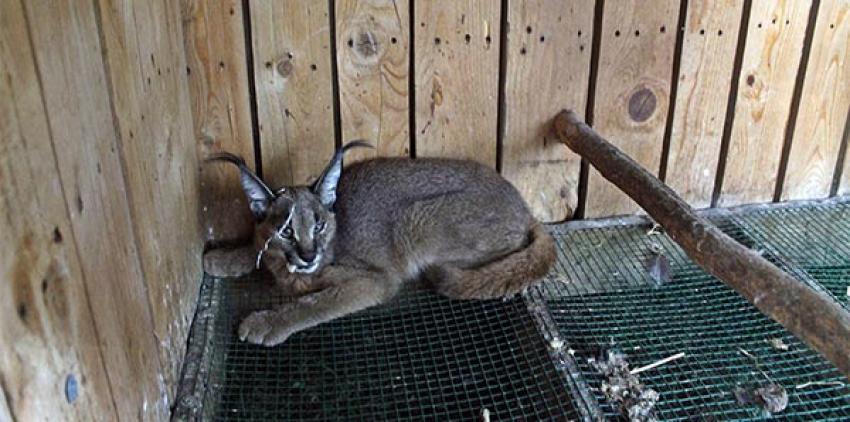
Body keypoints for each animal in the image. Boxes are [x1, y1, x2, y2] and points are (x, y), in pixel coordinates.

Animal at [202, 143, 552, 346]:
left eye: (319, 224)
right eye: (286, 231)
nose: (309, 255)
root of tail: (525, 208)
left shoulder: (374, 280)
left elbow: (314, 302)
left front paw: (266, 321)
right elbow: (256, 245)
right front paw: (222, 258)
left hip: (414, 217)